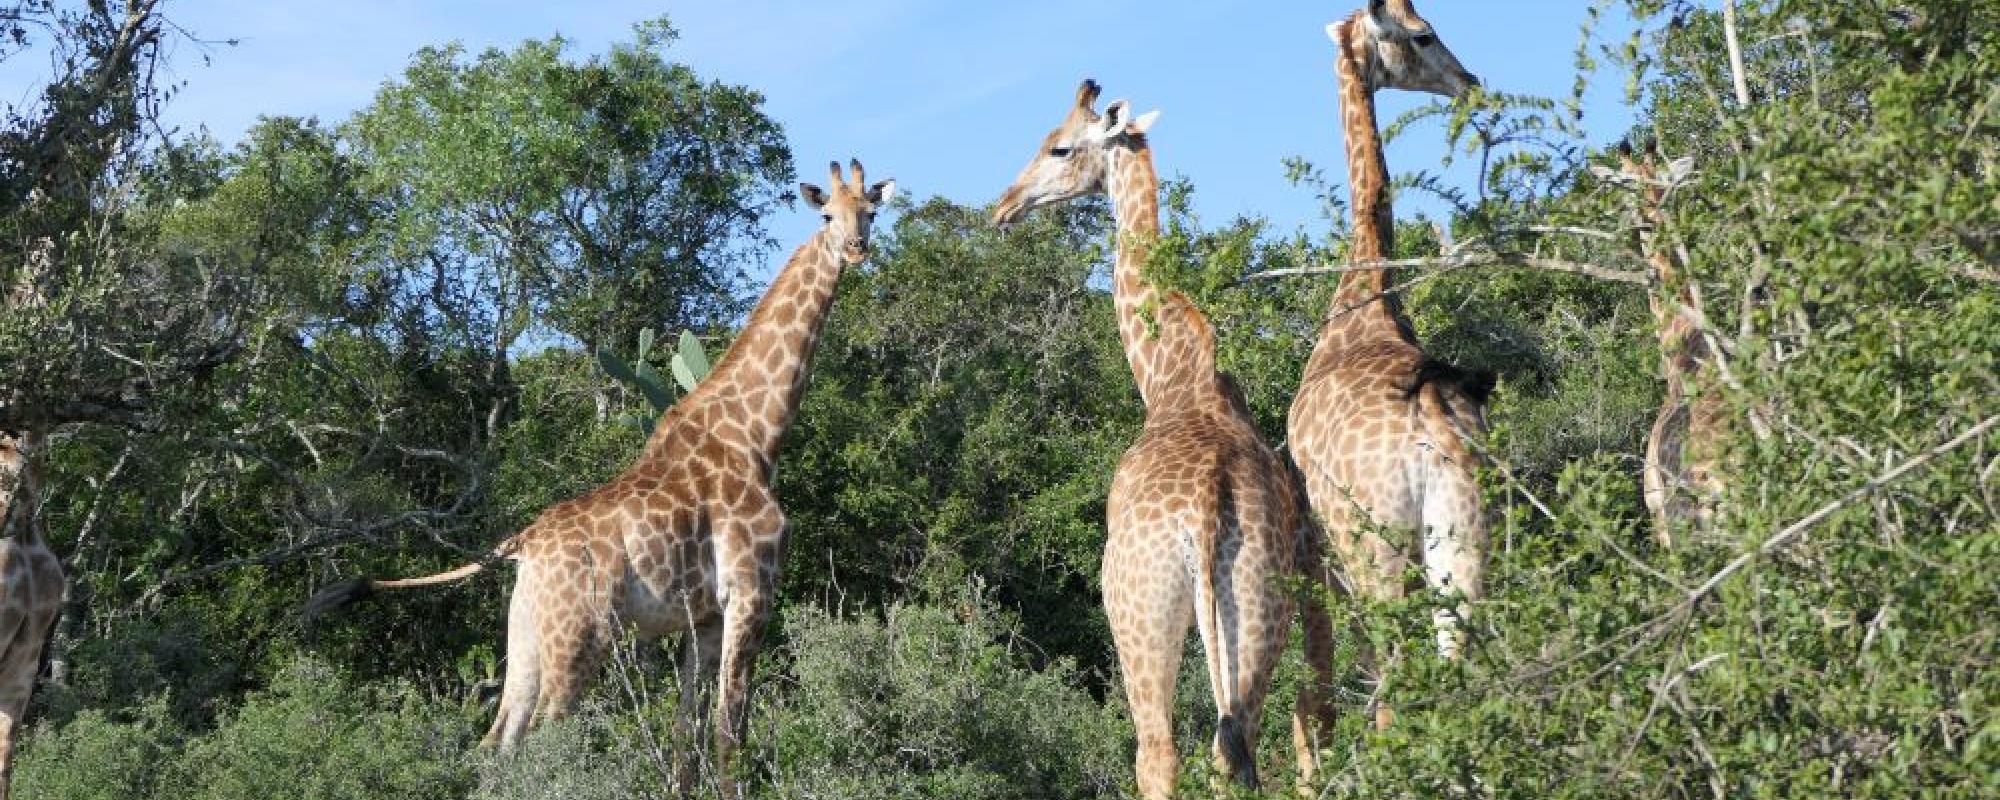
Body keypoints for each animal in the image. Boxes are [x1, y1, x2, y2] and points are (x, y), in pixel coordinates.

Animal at [308, 160, 894, 798]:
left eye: (871, 211)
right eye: (826, 215)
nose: (856, 248)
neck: (754, 435)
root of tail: (522, 545)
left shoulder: (704, 616)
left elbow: (687, 733)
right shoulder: (751, 591)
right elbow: (729, 728)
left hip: (527, 633)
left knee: (497, 742)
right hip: (579, 636)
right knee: (546, 740)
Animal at [992, 79, 1329, 799]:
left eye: (1059, 145)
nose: (1004, 207)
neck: (1170, 376)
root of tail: (1205, 511)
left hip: (1137, 609)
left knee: (1158, 753)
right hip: (1259, 606)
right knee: (1235, 748)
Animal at [1288, 0, 1488, 729]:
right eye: (1423, 35)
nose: (1468, 81)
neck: (1367, 289)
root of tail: (1431, 424)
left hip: (1377, 547)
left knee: (1394, 678)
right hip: (1462, 529)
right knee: (1464, 660)